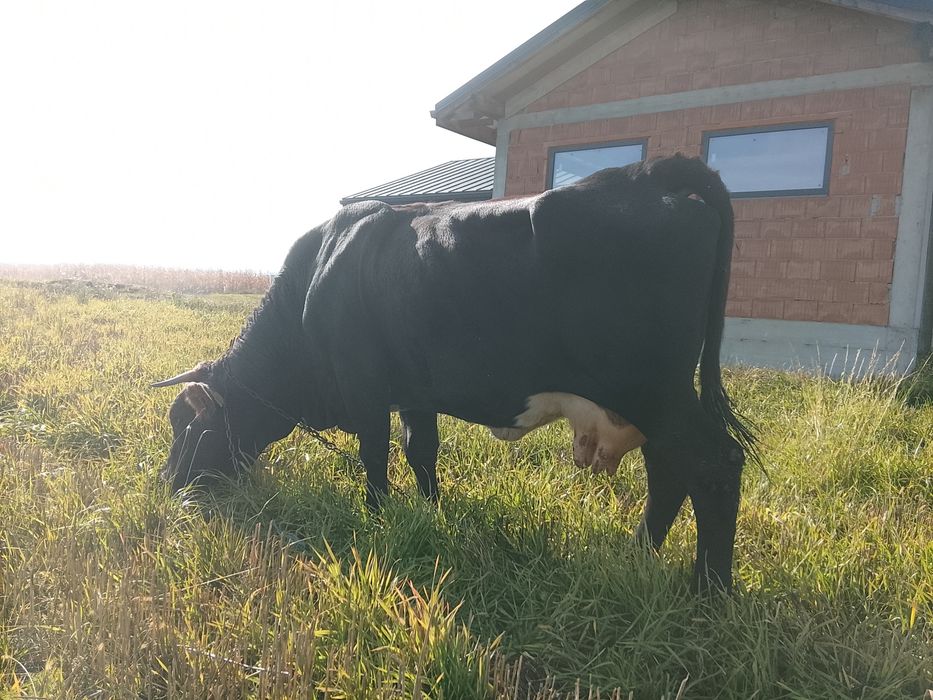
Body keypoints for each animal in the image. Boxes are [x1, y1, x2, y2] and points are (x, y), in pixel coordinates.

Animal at [152, 155, 756, 592]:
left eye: (190, 426)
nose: (169, 485)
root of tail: (644, 175)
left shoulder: (364, 387)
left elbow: (375, 454)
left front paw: (378, 515)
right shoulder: (414, 392)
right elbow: (421, 450)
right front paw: (430, 510)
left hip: (653, 389)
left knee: (712, 465)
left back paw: (710, 591)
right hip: (648, 400)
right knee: (669, 471)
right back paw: (638, 554)